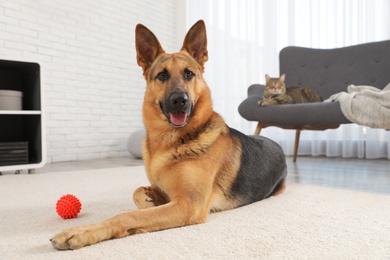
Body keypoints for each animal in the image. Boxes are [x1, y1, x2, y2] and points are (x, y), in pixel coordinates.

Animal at [50, 20, 286, 250]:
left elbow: (127, 216)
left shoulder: (188, 205)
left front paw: (80, 232)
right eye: (162, 75)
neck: (171, 141)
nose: (179, 100)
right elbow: (137, 191)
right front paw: (147, 201)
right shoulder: (164, 190)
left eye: (189, 74)